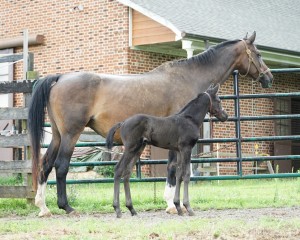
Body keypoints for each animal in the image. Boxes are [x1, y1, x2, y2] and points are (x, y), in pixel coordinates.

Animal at [105, 84, 227, 218]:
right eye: (219, 100)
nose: (225, 116)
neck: (189, 119)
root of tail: (123, 123)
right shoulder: (186, 148)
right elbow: (186, 174)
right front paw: (188, 208)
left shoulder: (179, 150)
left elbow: (179, 175)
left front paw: (178, 207)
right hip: (130, 148)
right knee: (118, 169)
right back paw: (117, 209)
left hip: (138, 149)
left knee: (126, 173)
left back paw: (132, 209)